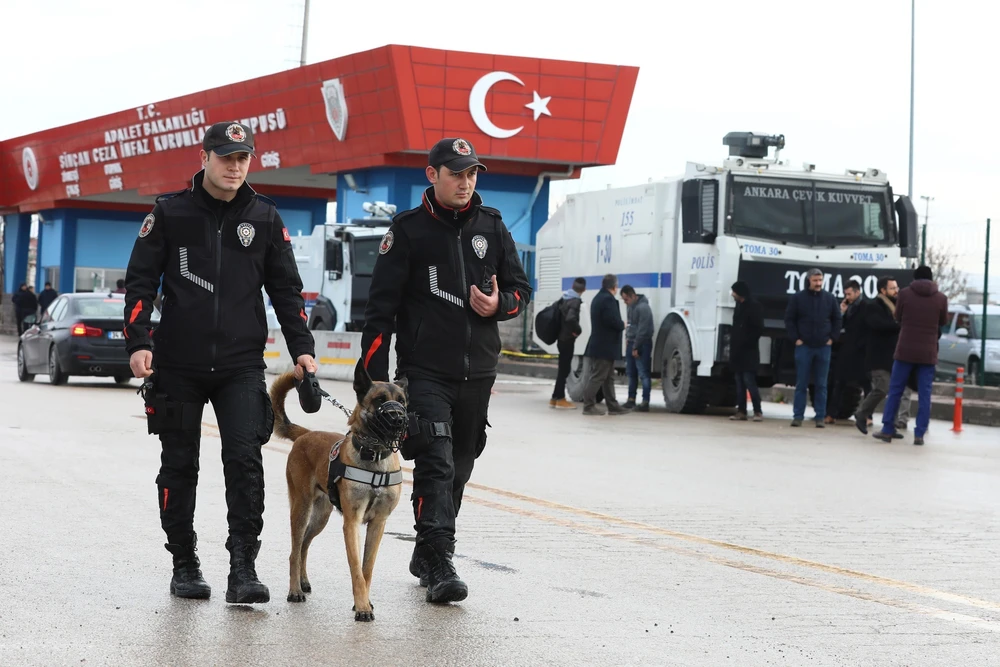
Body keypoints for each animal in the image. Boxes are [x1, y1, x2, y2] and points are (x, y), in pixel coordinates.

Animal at [268, 358, 408, 624]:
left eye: (402, 401)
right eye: (380, 400)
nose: (399, 419)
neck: (374, 456)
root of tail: (306, 433)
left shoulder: (378, 524)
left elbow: (367, 569)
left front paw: (364, 602)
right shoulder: (351, 523)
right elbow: (356, 570)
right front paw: (362, 608)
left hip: (320, 517)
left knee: (304, 545)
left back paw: (303, 581)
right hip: (301, 508)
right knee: (294, 551)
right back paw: (295, 590)